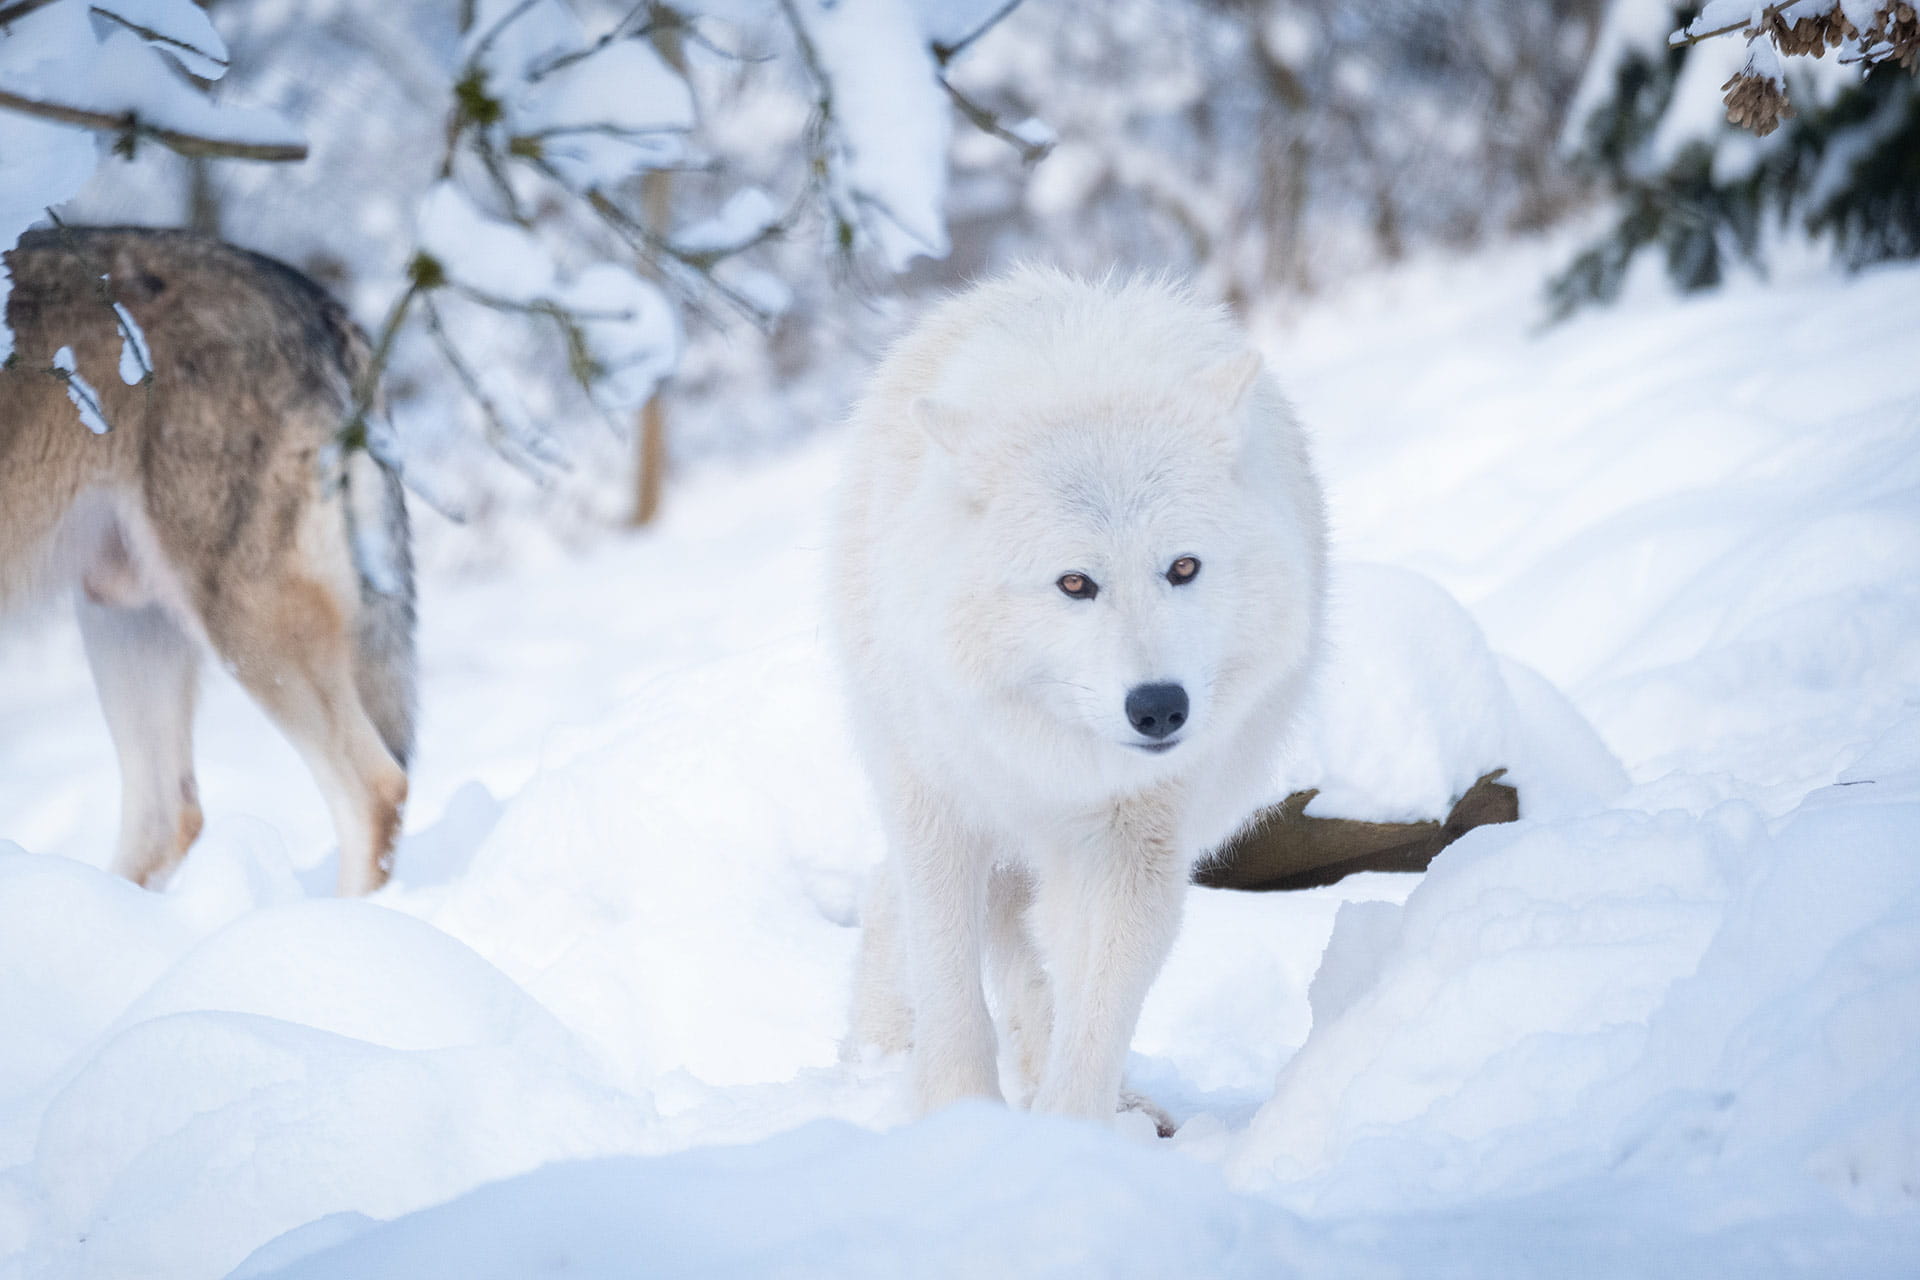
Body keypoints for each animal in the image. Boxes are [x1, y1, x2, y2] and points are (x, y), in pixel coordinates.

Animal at [834, 266, 1327, 1126]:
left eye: (1183, 568)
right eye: (1075, 583)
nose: (1158, 706)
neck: (1055, 759)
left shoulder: (1135, 841)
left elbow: (1096, 1012)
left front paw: (1066, 1137)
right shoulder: (941, 809)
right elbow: (950, 986)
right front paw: (958, 1117)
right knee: (903, 908)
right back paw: (878, 1058)